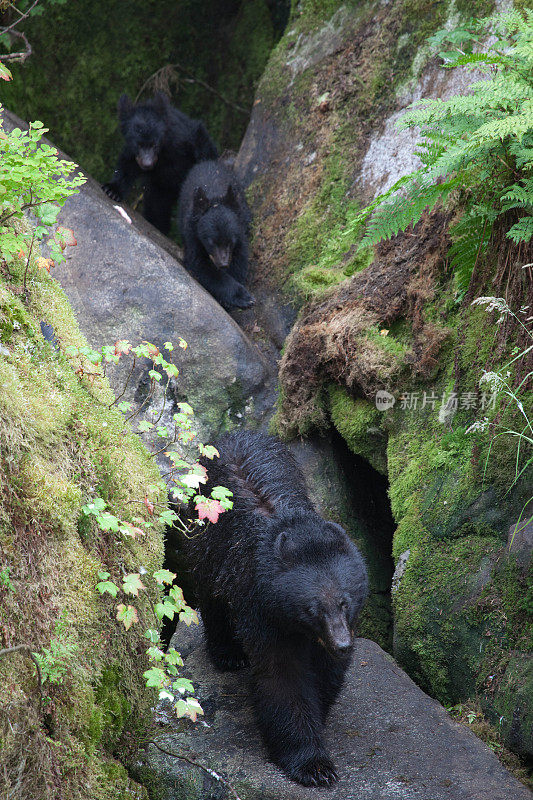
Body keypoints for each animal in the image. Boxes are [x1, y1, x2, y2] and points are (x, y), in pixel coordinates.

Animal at [102, 92, 218, 234]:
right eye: (139, 144)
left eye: (154, 144)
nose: (147, 163)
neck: (163, 153)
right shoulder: (135, 155)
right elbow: (127, 166)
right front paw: (112, 190)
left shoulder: (183, 141)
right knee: (157, 209)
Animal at [178, 159, 255, 310]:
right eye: (211, 242)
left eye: (231, 241)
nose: (223, 264)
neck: (215, 199)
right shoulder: (192, 235)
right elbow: (201, 265)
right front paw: (242, 296)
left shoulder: (240, 230)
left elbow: (240, 260)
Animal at [182, 432, 366, 788]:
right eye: (312, 609)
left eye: (344, 601)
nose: (341, 644)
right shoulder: (263, 612)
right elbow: (282, 677)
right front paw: (313, 765)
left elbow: (325, 673)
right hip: (209, 545)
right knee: (212, 599)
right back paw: (227, 653)